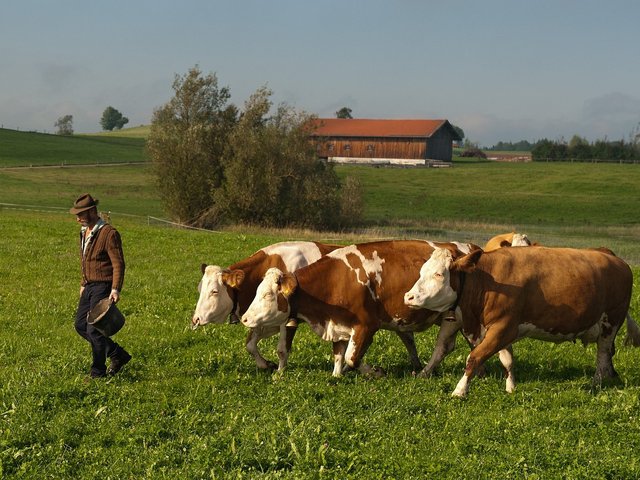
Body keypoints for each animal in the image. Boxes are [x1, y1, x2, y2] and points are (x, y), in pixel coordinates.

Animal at [190, 240, 342, 372]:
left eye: (214, 291)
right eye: (199, 289)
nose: (196, 319)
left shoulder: (288, 320)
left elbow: (282, 349)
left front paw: (280, 373)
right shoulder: (261, 317)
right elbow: (250, 345)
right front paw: (265, 364)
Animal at [240, 239, 480, 376]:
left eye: (268, 295)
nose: (244, 318)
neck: (336, 278)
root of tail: (469, 248)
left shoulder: (367, 326)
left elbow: (352, 358)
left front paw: (375, 371)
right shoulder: (338, 324)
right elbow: (339, 354)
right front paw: (338, 375)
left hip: (455, 318)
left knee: (444, 348)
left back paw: (426, 372)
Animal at [402, 246, 636, 396]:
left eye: (439, 274)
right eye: (421, 272)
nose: (408, 297)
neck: (486, 281)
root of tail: (615, 259)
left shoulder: (502, 327)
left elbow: (474, 357)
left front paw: (460, 390)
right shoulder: (500, 329)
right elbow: (507, 360)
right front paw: (511, 387)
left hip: (610, 322)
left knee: (602, 355)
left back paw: (597, 382)